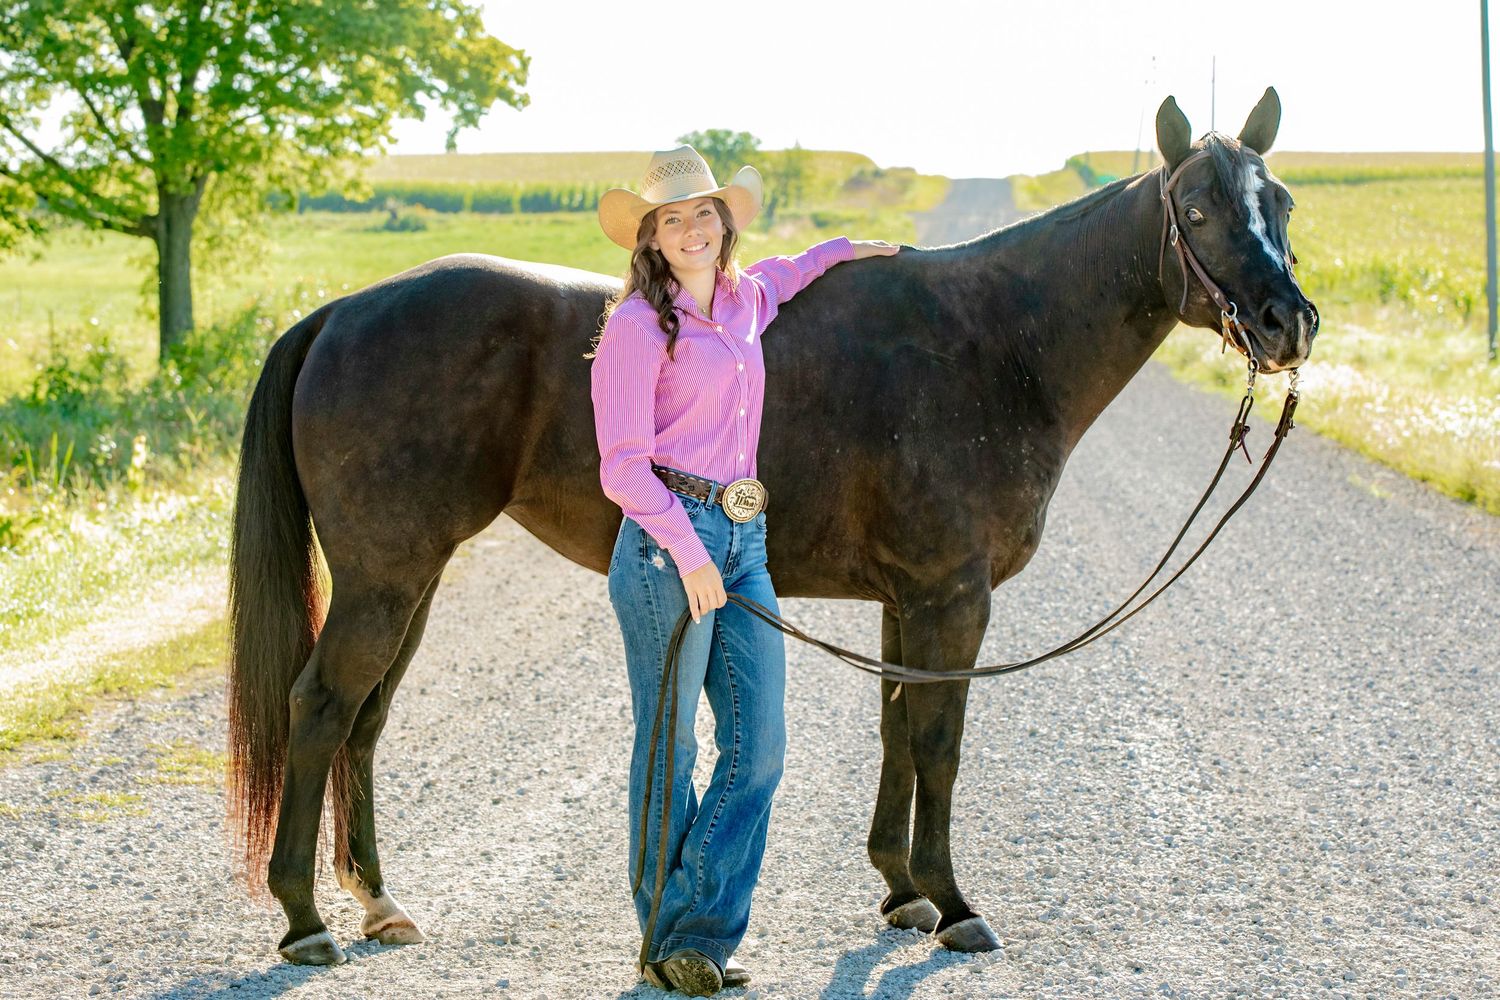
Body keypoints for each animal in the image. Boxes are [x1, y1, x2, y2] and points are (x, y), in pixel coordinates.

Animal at [227, 87, 1317, 964]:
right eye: (1198, 208)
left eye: (1284, 202)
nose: (1287, 322)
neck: (993, 345)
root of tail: (337, 312)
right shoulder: (952, 598)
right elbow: (940, 742)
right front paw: (955, 902)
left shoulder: (909, 601)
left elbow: (896, 731)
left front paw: (902, 890)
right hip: (385, 577)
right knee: (320, 708)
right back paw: (305, 921)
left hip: (411, 580)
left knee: (364, 722)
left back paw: (378, 903)